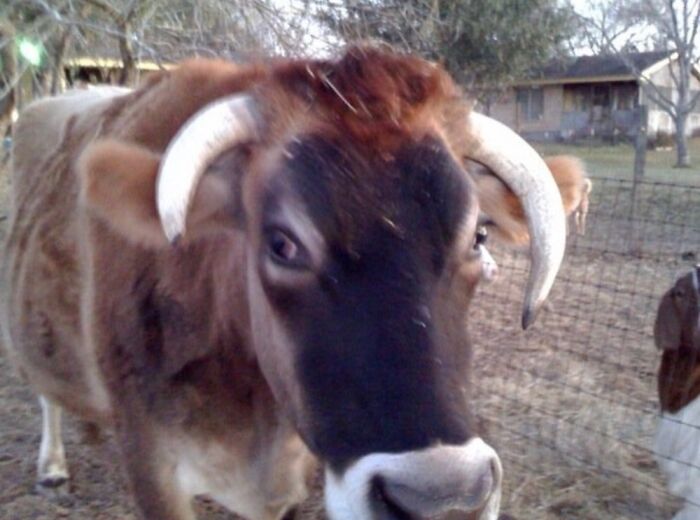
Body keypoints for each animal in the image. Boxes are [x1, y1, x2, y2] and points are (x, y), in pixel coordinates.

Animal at [0, 46, 585, 520]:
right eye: (282, 244)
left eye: (479, 235)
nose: (442, 499)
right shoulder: (151, 467)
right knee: (44, 391)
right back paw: (51, 464)